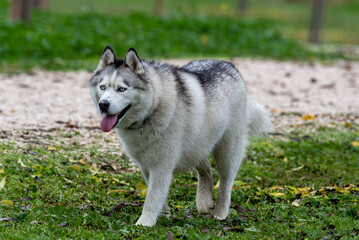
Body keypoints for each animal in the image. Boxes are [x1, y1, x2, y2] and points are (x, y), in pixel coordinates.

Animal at [90, 46, 272, 226]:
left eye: (122, 89)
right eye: (103, 87)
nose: (103, 104)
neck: (152, 110)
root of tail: (230, 65)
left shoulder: (162, 165)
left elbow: (152, 198)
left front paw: (144, 223)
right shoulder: (146, 165)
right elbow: (157, 195)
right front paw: (163, 214)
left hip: (227, 152)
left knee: (225, 184)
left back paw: (220, 213)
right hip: (196, 145)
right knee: (206, 167)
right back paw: (204, 201)